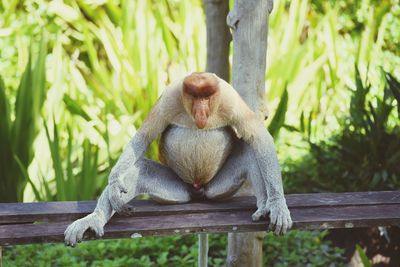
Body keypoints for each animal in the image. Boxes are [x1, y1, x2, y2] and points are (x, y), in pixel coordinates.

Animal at [64, 73, 292, 247]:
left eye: (206, 96)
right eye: (194, 96)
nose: (200, 110)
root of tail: (198, 189)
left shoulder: (231, 99)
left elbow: (259, 138)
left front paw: (278, 205)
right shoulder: (169, 98)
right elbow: (142, 138)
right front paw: (113, 185)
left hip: (219, 190)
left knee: (249, 149)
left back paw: (264, 207)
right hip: (177, 192)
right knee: (141, 168)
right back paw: (93, 219)